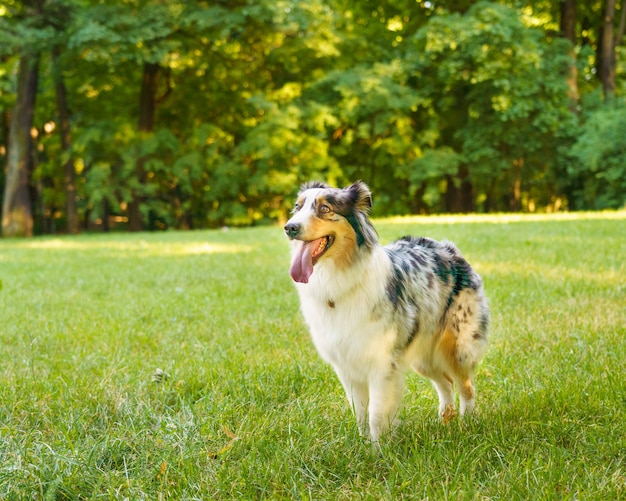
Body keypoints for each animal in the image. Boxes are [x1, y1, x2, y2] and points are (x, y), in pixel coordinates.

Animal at [284, 181, 488, 442]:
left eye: (325, 208)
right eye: (297, 207)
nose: (289, 227)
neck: (338, 277)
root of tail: (448, 248)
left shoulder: (381, 363)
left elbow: (377, 413)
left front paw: (379, 448)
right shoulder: (347, 366)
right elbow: (360, 412)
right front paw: (363, 443)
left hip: (455, 347)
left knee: (466, 386)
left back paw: (466, 424)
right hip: (423, 354)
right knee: (445, 384)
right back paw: (444, 420)